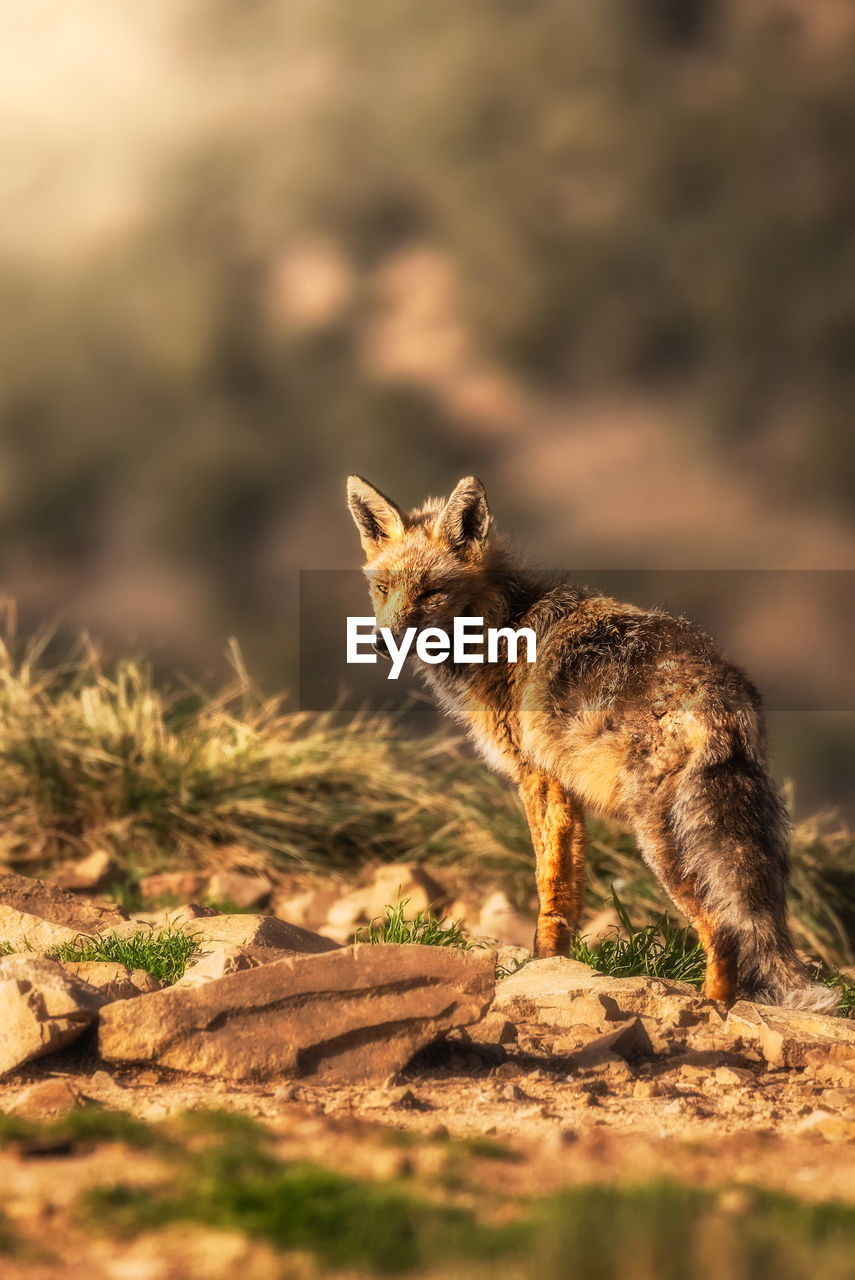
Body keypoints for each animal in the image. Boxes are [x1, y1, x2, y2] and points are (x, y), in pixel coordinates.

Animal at [348, 473, 834, 1008]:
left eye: (432, 591)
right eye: (383, 588)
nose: (379, 642)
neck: (501, 626)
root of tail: (721, 695)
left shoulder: (537, 776)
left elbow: (547, 880)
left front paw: (538, 967)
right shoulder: (566, 787)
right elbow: (568, 889)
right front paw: (556, 965)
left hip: (663, 841)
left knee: (722, 928)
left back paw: (712, 1009)